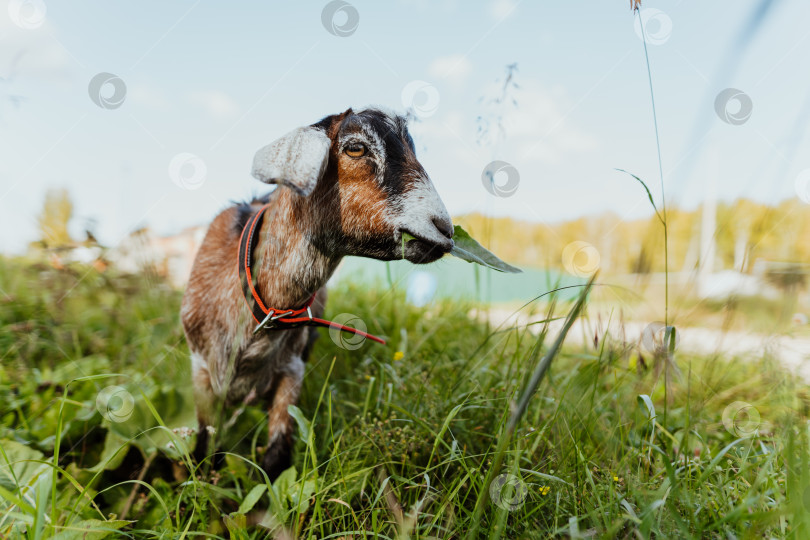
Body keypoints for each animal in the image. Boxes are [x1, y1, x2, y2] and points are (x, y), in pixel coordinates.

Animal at [179, 107, 452, 478]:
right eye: (355, 148)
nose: (445, 229)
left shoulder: (292, 370)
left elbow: (277, 454)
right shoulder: (201, 372)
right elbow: (206, 449)